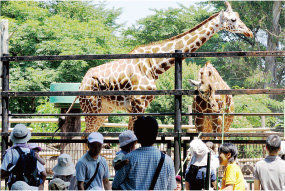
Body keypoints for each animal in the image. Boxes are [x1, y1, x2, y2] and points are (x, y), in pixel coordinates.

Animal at [67, 1, 253, 134]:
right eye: (233, 19)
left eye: (238, 16)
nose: (249, 32)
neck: (153, 66)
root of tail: (80, 85)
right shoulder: (137, 103)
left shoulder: (141, 104)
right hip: (92, 108)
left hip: (105, 110)